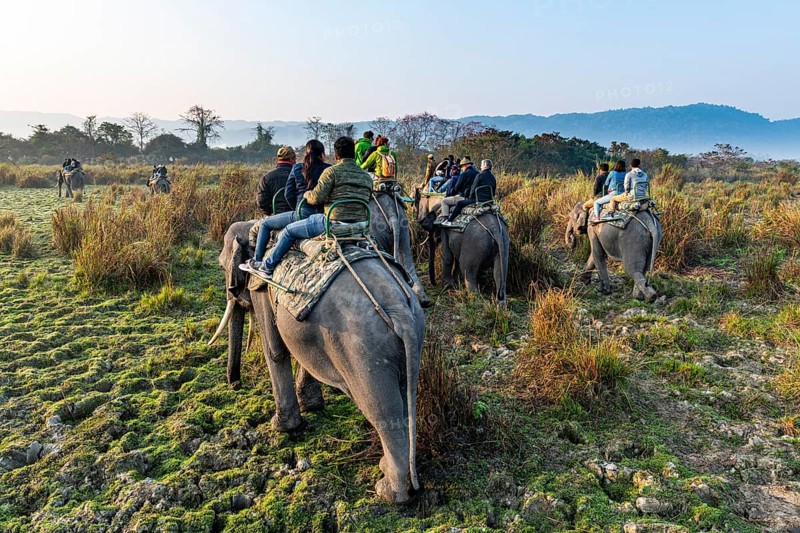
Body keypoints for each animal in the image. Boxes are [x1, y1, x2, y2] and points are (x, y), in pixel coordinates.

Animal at [210, 220, 425, 504]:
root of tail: (401, 312)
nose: (234, 384)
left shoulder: (261, 289)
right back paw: (391, 472)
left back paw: (390, 492)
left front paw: (282, 428)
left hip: (366, 353)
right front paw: (312, 406)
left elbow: (275, 350)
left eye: (222, 266)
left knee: (381, 410)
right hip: (405, 342)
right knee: (405, 398)